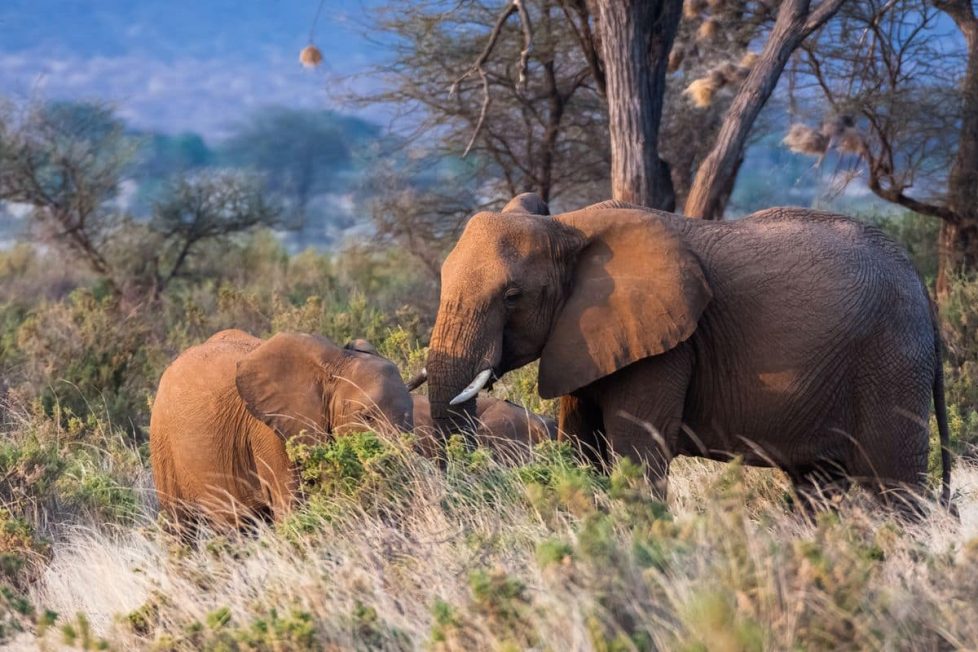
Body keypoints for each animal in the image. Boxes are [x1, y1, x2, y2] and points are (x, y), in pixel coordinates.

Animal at [424, 194, 948, 510]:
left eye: (513, 296)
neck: (565, 226)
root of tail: (921, 284)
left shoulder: (665, 349)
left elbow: (637, 458)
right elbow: (580, 450)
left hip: (891, 359)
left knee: (894, 487)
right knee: (817, 485)